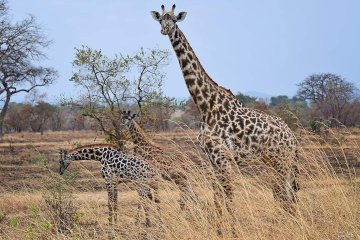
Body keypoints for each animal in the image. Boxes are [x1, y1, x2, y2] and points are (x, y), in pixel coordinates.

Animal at [150, 4, 300, 211]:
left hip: (281, 161)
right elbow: (218, 200)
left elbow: (228, 201)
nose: (165, 30)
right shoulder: (211, 159)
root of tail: (292, 138)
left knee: (286, 199)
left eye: (173, 20)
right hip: (273, 162)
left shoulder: (223, 159)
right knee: (284, 197)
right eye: (160, 20)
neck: (205, 105)